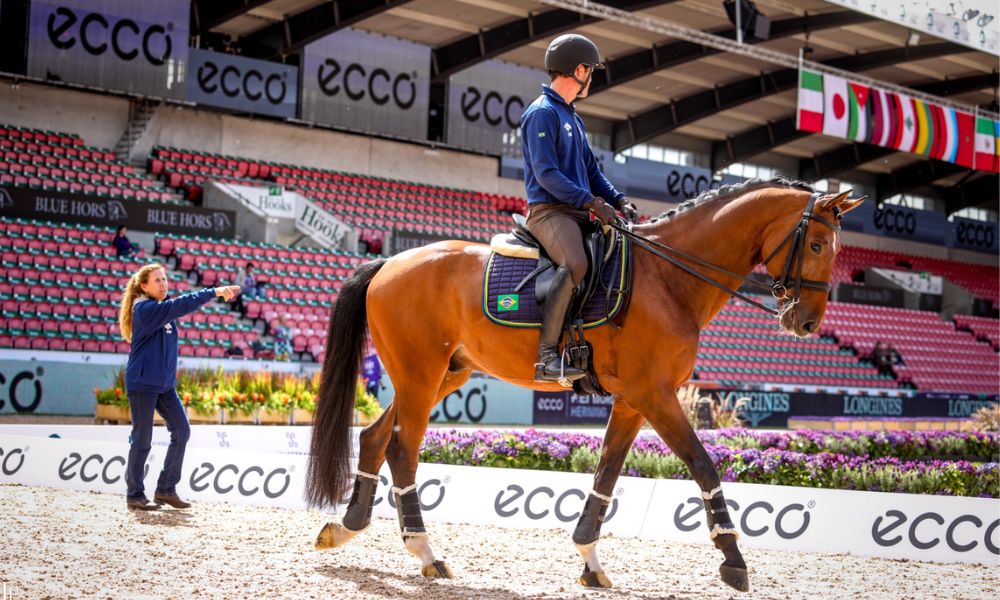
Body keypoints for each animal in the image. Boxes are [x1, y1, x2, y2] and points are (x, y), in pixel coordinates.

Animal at [304, 178, 860, 592]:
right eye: (815, 244)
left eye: (836, 250)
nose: (808, 323)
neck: (668, 278)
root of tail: (390, 262)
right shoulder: (655, 394)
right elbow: (702, 463)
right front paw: (733, 559)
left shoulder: (636, 399)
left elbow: (607, 472)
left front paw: (590, 560)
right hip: (421, 375)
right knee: (403, 449)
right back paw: (425, 550)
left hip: (442, 375)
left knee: (375, 436)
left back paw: (346, 528)